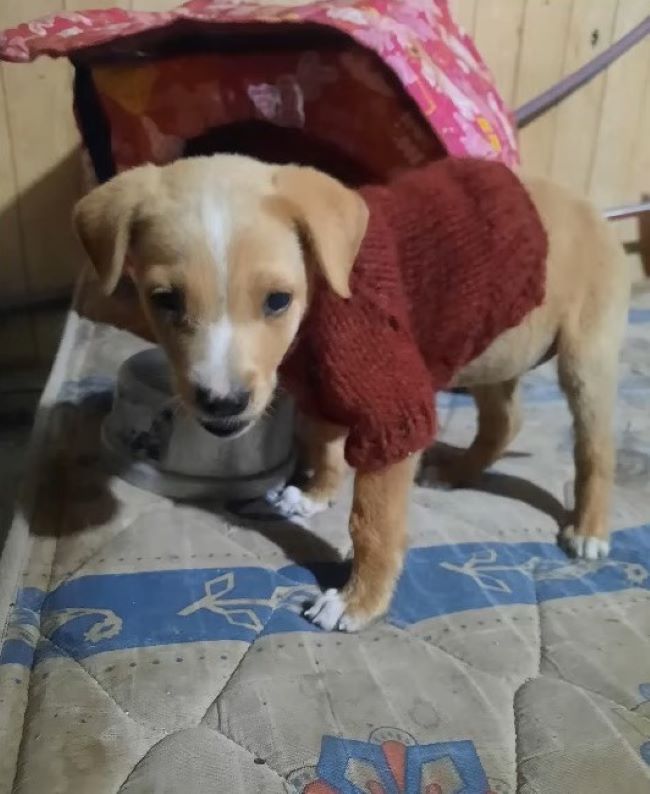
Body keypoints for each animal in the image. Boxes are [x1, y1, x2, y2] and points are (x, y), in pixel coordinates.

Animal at [74, 153, 628, 624]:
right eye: (164, 300)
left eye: (278, 300)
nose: (223, 402)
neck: (323, 292)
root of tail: (596, 212)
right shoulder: (319, 391)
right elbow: (326, 447)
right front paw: (313, 496)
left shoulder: (394, 413)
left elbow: (371, 522)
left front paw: (358, 601)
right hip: (494, 352)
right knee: (505, 421)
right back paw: (457, 472)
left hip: (586, 356)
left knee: (595, 449)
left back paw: (590, 530)